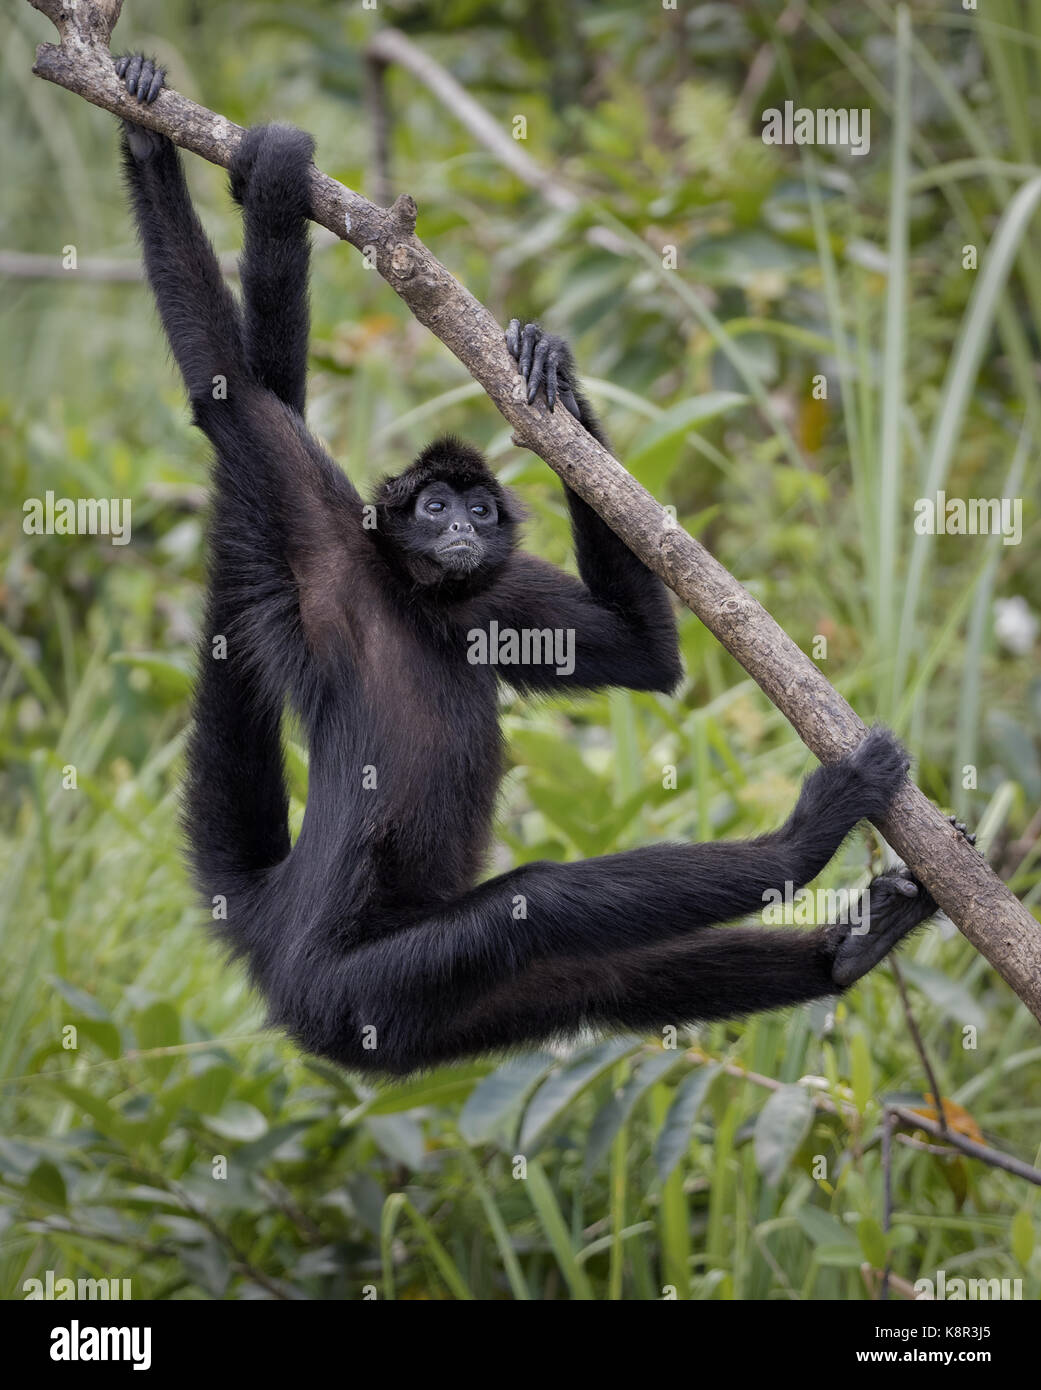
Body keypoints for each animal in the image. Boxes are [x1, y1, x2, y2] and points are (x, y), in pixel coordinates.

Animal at [113, 56, 950, 1073]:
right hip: (358, 984)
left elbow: (645, 659)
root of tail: (276, 938)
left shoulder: (493, 600)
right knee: (538, 905)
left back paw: (842, 957)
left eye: (478, 509)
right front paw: (154, 147)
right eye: (434, 507)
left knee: (602, 978)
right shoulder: (326, 542)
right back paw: (801, 844)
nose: (463, 529)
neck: (419, 602)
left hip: (438, 1009)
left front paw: (557, 377)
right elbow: (229, 394)